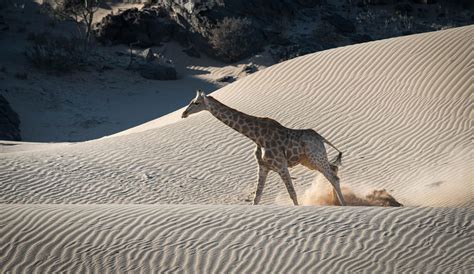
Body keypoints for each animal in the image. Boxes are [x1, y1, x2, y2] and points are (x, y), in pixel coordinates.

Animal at [181, 90, 344, 206]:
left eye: (196, 103)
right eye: (190, 102)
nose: (184, 113)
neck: (256, 136)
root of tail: (320, 137)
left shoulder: (281, 166)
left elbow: (292, 193)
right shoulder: (263, 166)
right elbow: (257, 197)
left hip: (315, 157)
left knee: (334, 177)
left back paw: (343, 205)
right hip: (309, 161)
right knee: (334, 170)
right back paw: (336, 202)